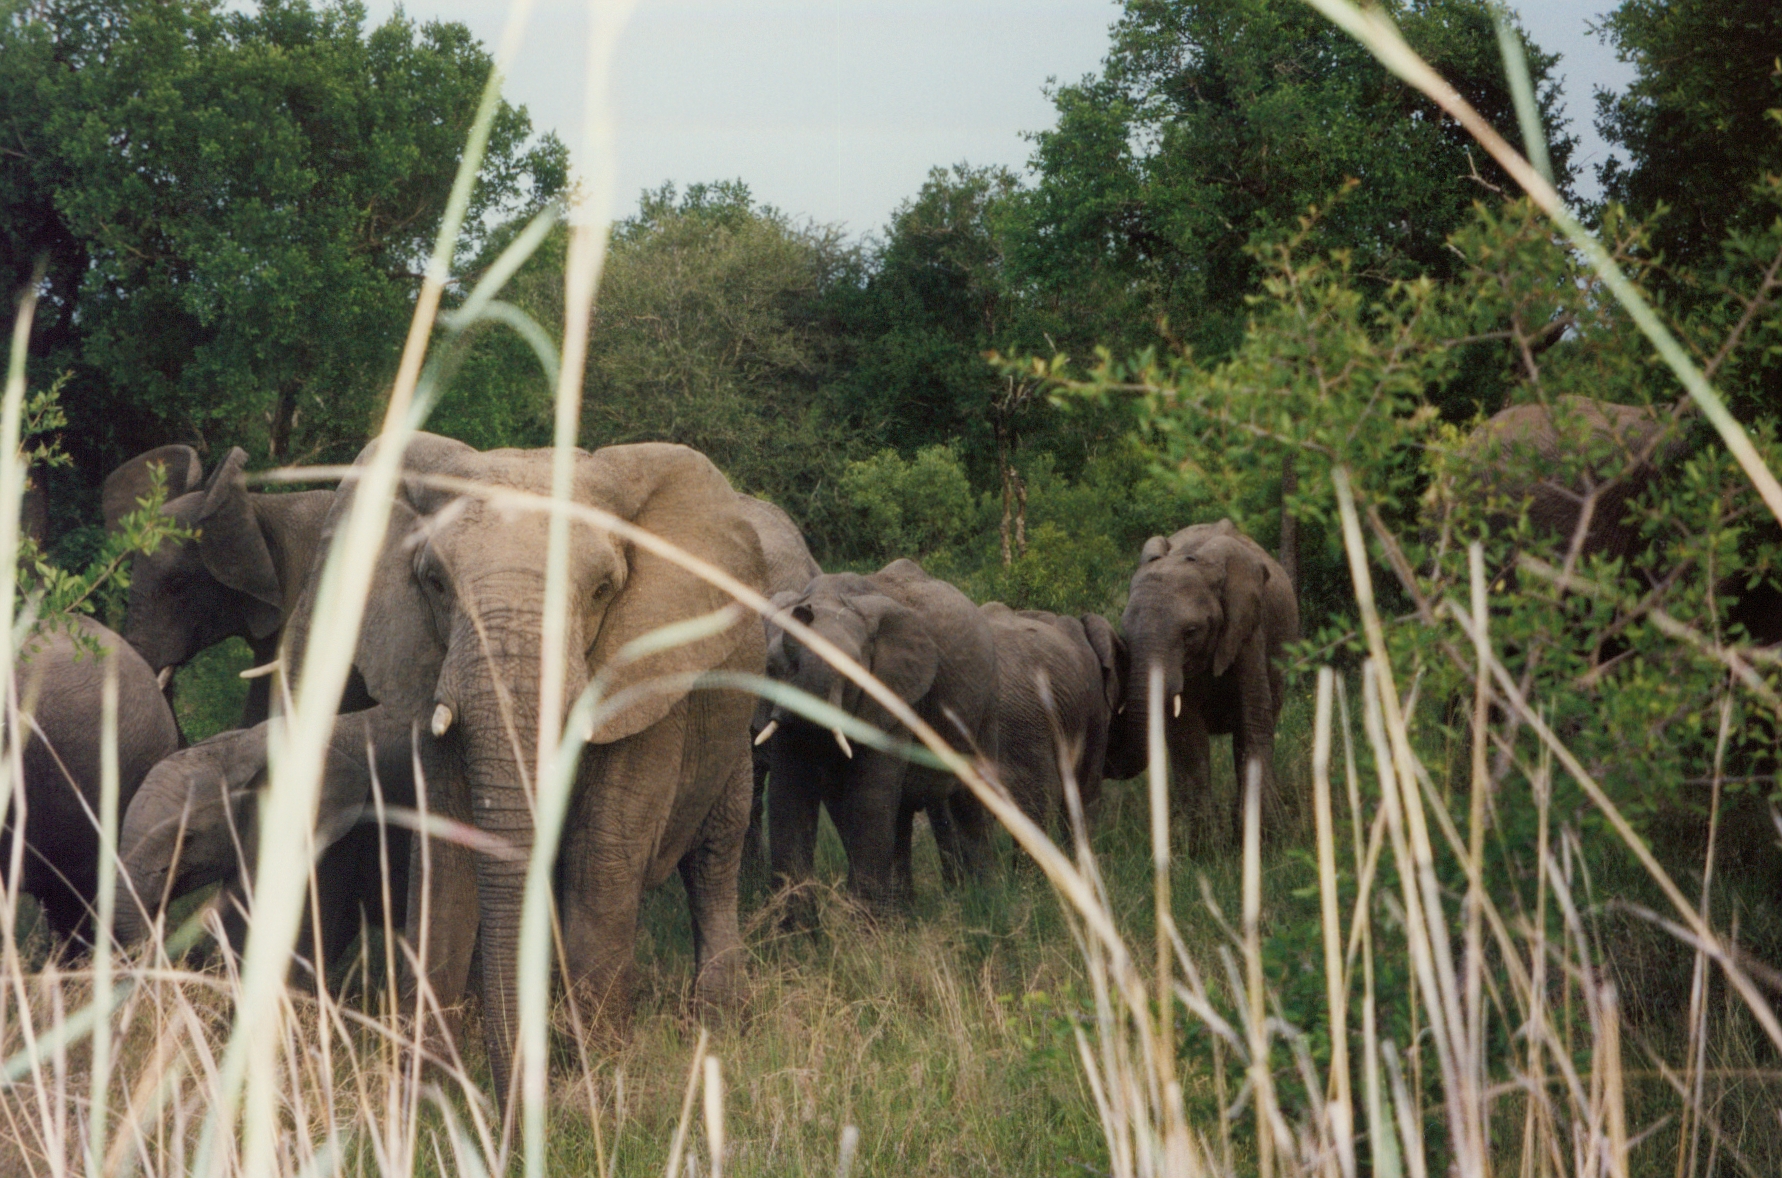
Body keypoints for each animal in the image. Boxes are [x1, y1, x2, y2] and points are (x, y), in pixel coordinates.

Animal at [276, 432, 768, 1104]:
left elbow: (601, 858)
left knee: (715, 857)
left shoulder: (648, 673)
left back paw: (717, 1026)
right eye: (434, 582)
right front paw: (426, 1096)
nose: (511, 1105)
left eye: (603, 589)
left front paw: (600, 1090)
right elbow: (448, 859)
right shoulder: (427, 664)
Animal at [763, 559, 998, 912]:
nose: (803, 613)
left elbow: (869, 801)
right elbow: (787, 801)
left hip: (982, 704)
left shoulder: (894, 692)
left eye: (852, 671)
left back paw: (986, 896)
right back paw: (903, 912)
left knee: (968, 799)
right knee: (899, 816)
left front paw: (861, 924)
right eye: (772, 667)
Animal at [1105, 519, 1300, 845]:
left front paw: (1265, 837)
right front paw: (1203, 845)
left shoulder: (1249, 629)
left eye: (1190, 632)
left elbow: (1252, 720)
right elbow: (1187, 736)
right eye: (1125, 633)